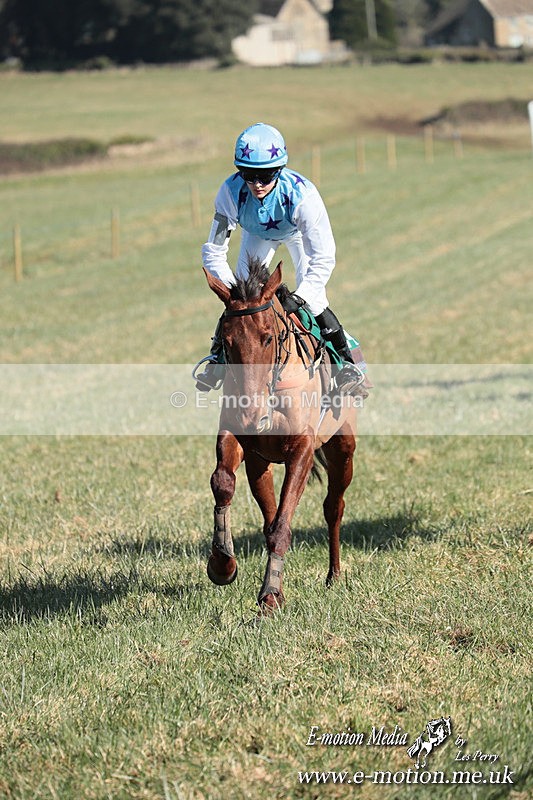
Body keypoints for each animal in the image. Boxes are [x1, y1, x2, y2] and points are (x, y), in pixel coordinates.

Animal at [203, 258, 358, 611]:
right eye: (226, 341)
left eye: (267, 338)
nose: (253, 413)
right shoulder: (243, 441)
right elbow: (223, 482)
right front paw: (222, 563)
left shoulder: (301, 449)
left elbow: (282, 525)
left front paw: (270, 595)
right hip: (260, 463)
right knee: (269, 513)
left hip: (343, 449)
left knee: (334, 506)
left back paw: (334, 575)